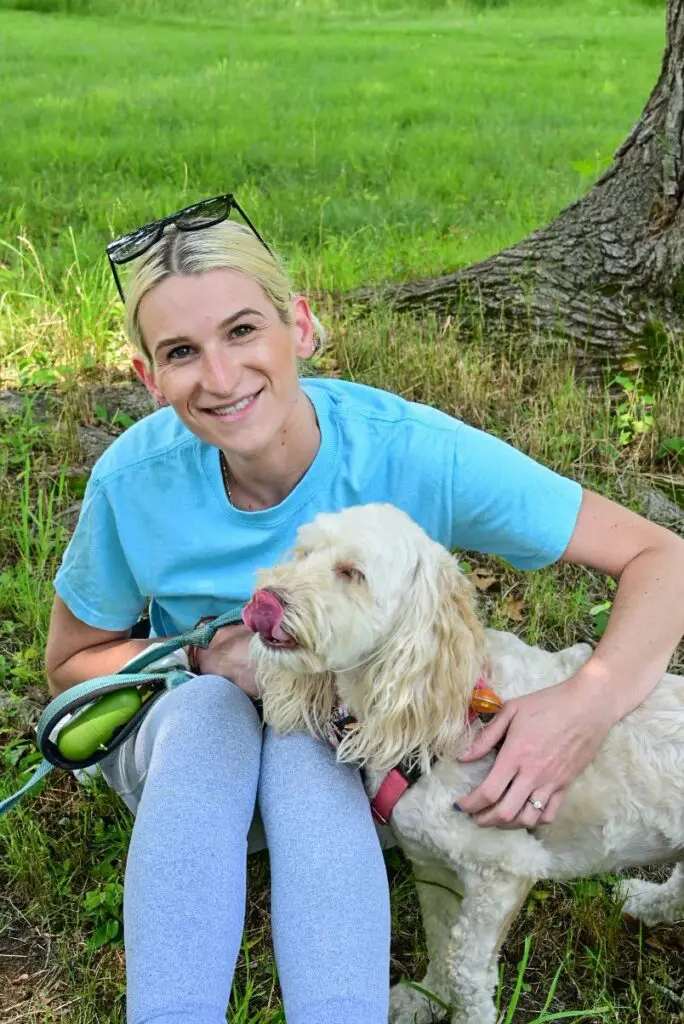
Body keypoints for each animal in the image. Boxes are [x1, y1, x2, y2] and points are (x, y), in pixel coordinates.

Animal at [245, 503, 684, 1024]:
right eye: (304, 552)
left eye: (352, 573)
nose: (262, 600)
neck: (442, 717)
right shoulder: (432, 864)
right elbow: (439, 939)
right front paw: (425, 998)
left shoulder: (503, 874)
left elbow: (464, 969)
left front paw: (461, 1009)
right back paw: (646, 902)